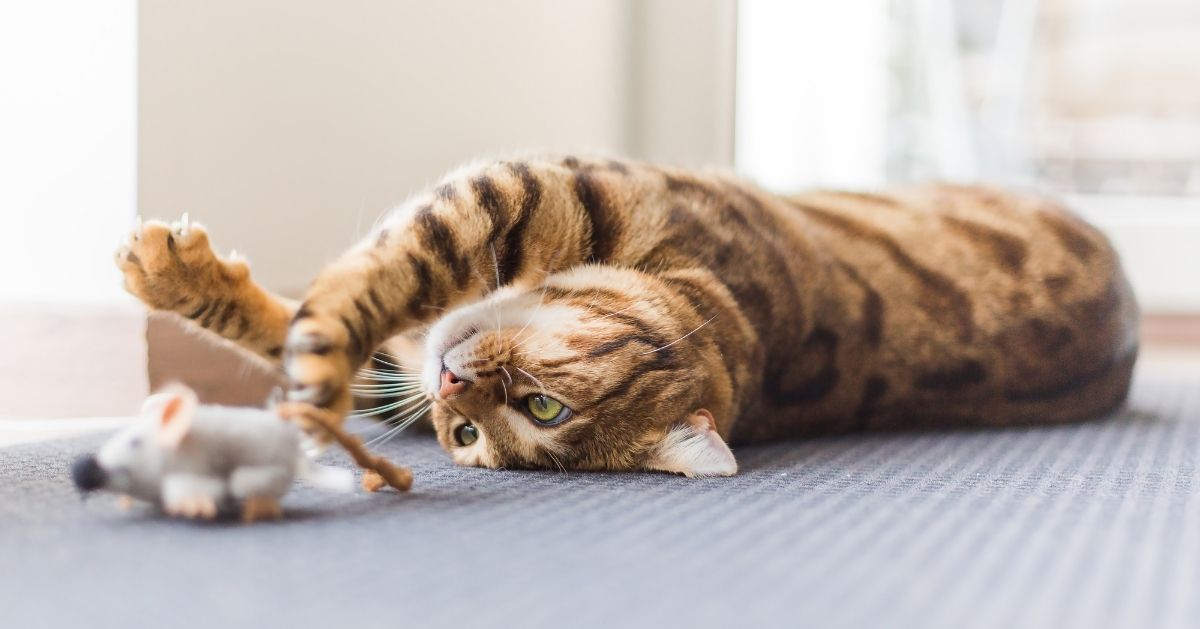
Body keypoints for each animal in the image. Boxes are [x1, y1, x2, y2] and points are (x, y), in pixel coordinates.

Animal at [117, 156, 1137, 477]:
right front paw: (174, 273)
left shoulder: (515, 193)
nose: (453, 386)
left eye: (532, 414)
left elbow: (352, 298)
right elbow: (330, 298)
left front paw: (311, 371)